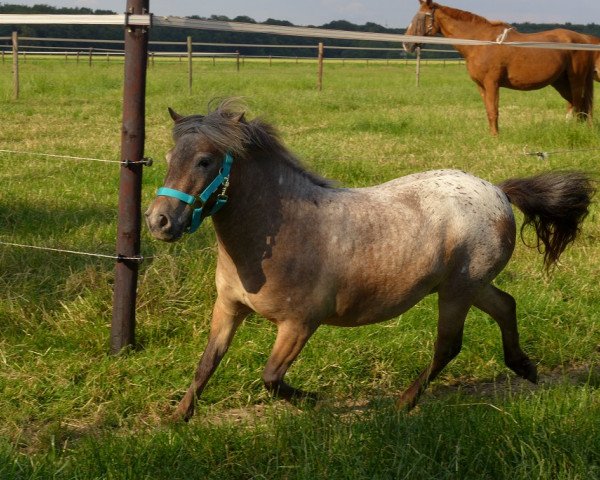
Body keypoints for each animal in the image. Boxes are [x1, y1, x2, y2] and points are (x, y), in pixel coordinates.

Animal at [146, 100, 596, 420]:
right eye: (168, 158)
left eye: (204, 160)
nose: (159, 221)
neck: (276, 235)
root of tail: (499, 191)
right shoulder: (228, 308)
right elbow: (207, 364)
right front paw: (177, 419)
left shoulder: (299, 324)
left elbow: (271, 378)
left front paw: (317, 401)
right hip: (471, 285)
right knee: (505, 305)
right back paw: (525, 368)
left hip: (457, 291)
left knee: (448, 345)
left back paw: (403, 404)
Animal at [404, 0, 596, 135]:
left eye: (421, 17)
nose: (406, 44)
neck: (480, 43)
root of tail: (584, 39)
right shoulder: (481, 86)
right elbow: (488, 110)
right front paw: (491, 135)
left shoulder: (492, 83)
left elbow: (493, 111)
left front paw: (496, 137)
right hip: (560, 82)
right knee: (578, 105)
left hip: (576, 79)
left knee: (579, 104)